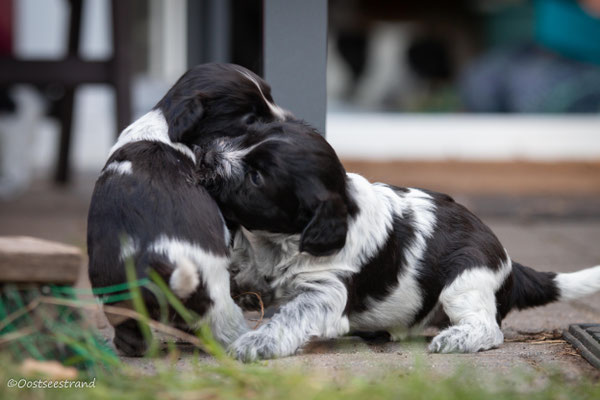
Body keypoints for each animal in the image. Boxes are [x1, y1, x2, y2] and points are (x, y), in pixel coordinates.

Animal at [88, 63, 292, 356]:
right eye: (251, 119)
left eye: (271, 97)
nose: (289, 120)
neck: (166, 124)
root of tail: (157, 264)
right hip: (217, 299)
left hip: (116, 295)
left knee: (130, 334)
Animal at [197, 120, 600, 360]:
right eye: (243, 137)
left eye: (256, 178)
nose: (204, 152)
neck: (287, 239)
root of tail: (510, 263)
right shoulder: (264, 267)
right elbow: (247, 270)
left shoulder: (327, 292)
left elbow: (291, 314)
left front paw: (257, 342)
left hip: (467, 282)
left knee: (489, 328)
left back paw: (455, 339)